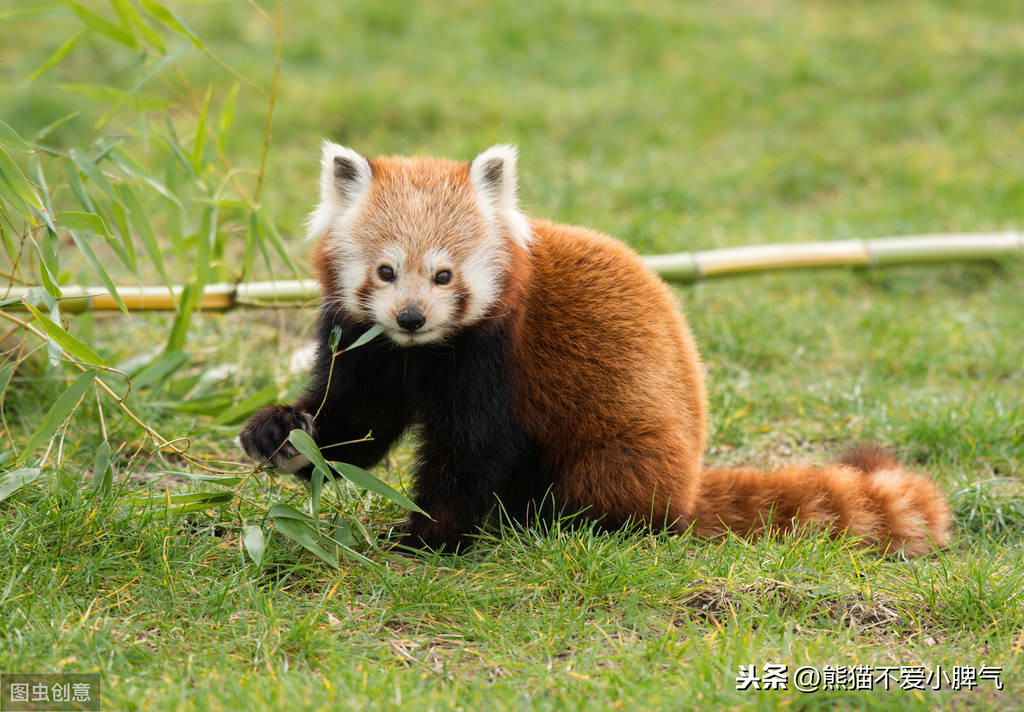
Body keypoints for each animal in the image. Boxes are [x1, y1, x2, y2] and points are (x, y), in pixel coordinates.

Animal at [239, 143, 950, 557]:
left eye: (444, 276)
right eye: (386, 272)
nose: (411, 317)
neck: (424, 351)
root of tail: (689, 486)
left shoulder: (496, 355)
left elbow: (471, 450)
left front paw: (429, 536)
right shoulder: (368, 345)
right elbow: (354, 425)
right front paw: (281, 433)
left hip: (623, 450)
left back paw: (549, 522)